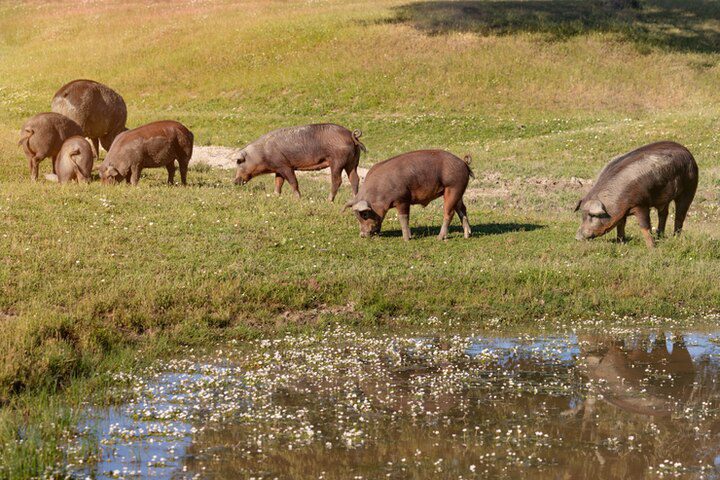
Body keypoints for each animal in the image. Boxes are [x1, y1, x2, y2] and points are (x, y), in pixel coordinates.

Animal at [232, 123, 366, 202]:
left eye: (239, 162)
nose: (234, 181)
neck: (262, 154)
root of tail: (351, 135)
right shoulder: (278, 168)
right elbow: (278, 182)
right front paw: (275, 195)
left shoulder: (285, 166)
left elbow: (293, 181)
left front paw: (298, 199)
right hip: (353, 163)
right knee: (355, 179)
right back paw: (354, 199)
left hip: (337, 161)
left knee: (337, 180)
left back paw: (329, 201)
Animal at [344, 149, 473, 241]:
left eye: (365, 214)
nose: (362, 235)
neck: (378, 192)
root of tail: (464, 163)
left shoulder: (402, 199)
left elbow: (403, 218)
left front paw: (406, 239)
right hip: (458, 192)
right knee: (462, 209)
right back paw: (467, 235)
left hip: (453, 187)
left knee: (449, 213)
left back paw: (439, 238)